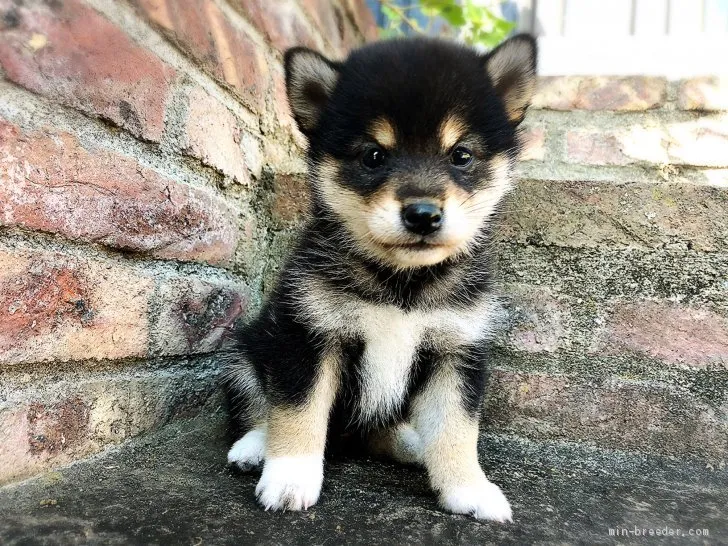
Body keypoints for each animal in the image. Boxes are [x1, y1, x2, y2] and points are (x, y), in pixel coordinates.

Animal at [225, 34, 536, 520]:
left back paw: (413, 445)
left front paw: (469, 489)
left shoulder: (456, 351)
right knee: (260, 407)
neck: (401, 285)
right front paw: (291, 477)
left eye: (461, 155)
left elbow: (456, 430)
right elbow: (296, 413)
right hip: (245, 352)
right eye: (373, 155)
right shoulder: (307, 337)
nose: (423, 214)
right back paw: (254, 448)